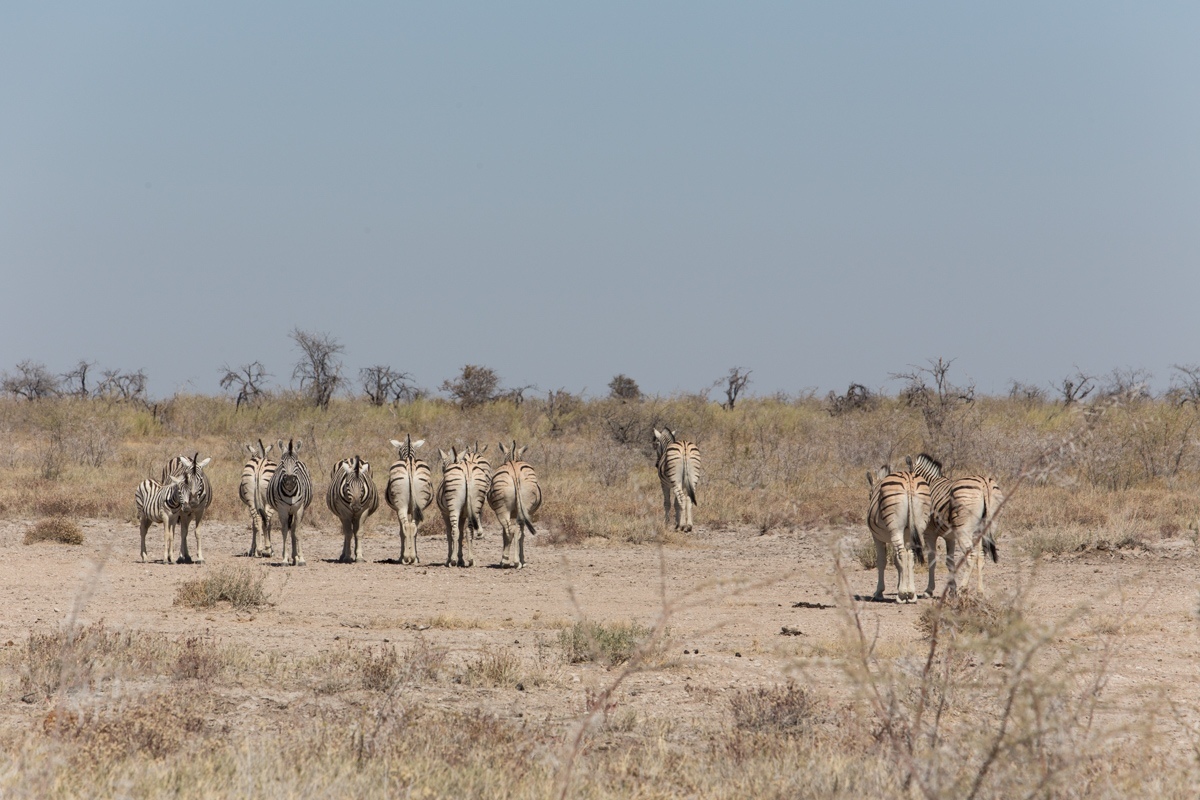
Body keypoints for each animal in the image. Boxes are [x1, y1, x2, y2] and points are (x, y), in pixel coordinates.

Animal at [386, 434, 434, 566]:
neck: (408, 455)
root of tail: (410, 463)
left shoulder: (399, 509)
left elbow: (401, 532)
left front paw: (401, 556)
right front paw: (415, 556)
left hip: (401, 506)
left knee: (406, 526)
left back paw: (406, 558)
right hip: (417, 504)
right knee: (412, 527)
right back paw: (412, 558)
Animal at [487, 438, 544, 568]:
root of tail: (515, 472)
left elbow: (507, 534)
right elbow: (521, 535)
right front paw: (522, 560)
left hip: (502, 510)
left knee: (510, 531)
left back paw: (506, 561)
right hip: (521, 508)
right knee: (516, 531)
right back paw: (516, 562)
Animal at [868, 460, 931, 604]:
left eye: (869, 495)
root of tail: (909, 480)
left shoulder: (877, 537)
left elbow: (882, 561)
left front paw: (879, 592)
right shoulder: (906, 536)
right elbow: (900, 562)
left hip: (895, 527)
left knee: (902, 553)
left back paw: (903, 594)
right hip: (918, 525)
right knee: (910, 555)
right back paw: (911, 594)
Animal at [907, 453, 1003, 597]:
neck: (929, 482)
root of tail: (984, 484)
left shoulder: (930, 533)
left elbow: (932, 560)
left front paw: (929, 590)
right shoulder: (950, 537)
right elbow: (950, 562)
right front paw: (951, 590)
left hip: (963, 531)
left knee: (971, 555)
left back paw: (963, 588)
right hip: (985, 528)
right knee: (980, 556)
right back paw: (980, 591)